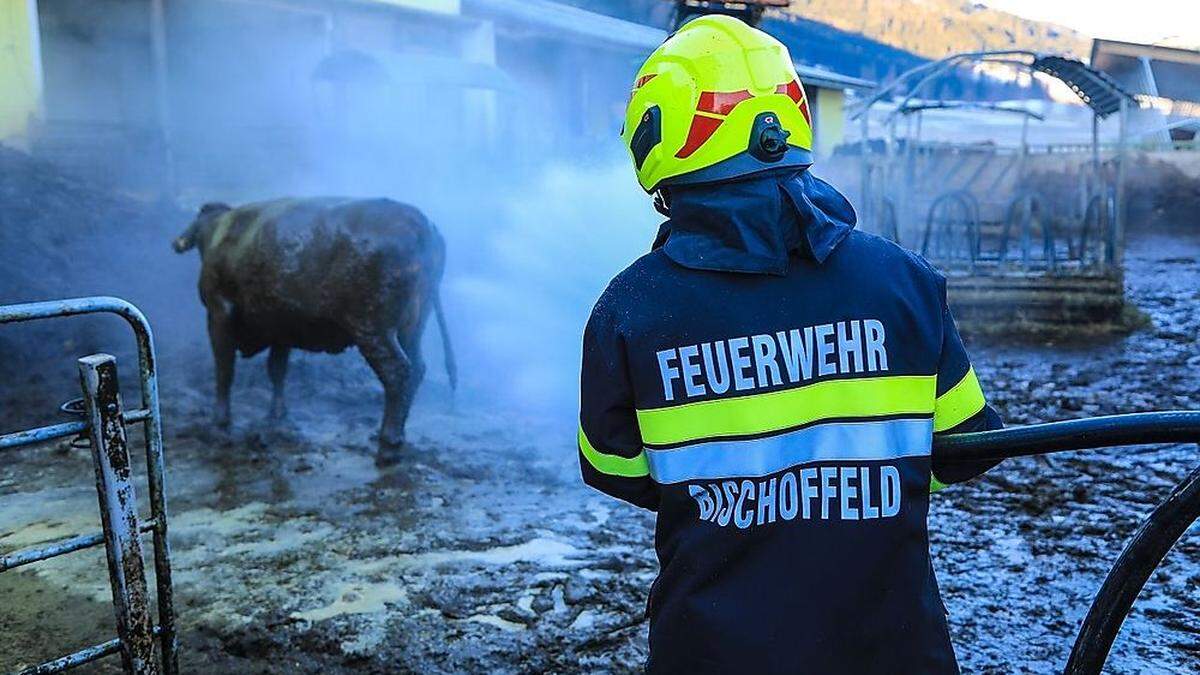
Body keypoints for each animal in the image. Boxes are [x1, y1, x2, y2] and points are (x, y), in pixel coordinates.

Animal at [169, 194, 451, 458]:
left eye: (197, 216)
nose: (176, 242)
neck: (219, 233)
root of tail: (421, 223)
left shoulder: (219, 312)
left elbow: (224, 370)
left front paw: (220, 420)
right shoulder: (279, 324)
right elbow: (277, 370)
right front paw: (278, 415)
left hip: (375, 330)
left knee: (397, 372)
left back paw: (389, 440)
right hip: (411, 328)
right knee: (417, 368)